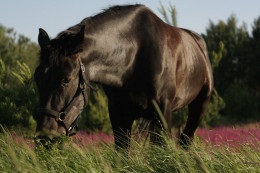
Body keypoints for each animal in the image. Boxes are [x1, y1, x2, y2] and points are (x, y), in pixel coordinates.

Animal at [34, 4, 213, 149]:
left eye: (66, 80)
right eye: (37, 79)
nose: (44, 138)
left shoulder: (163, 111)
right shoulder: (118, 112)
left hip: (199, 105)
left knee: (185, 140)